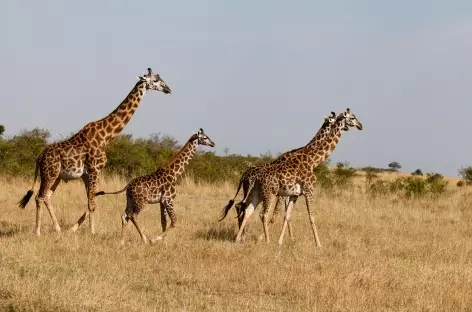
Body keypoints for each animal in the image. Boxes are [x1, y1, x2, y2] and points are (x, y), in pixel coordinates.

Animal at [17, 67, 171, 235]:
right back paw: (38, 232)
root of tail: (39, 157)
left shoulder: (87, 174)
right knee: (39, 197)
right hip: (49, 174)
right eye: (155, 80)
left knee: (47, 197)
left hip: (56, 176)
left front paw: (76, 228)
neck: (106, 137)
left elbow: (91, 201)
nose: (168, 89)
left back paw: (58, 229)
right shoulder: (94, 170)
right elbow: (92, 204)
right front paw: (92, 232)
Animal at [219, 111, 338, 240]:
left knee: (240, 206)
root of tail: (243, 176)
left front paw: (289, 237)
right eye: (333, 119)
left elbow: (286, 214)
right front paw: (284, 238)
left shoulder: (289, 193)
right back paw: (243, 236)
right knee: (243, 207)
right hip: (256, 193)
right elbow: (279, 215)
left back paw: (242, 236)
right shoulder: (285, 194)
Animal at [236, 108, 366, 247]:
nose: (361, 126)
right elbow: (310, 216)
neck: (312, 159)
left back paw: (239, 238)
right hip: (269, 193)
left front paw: (281, 241)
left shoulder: (294, 194)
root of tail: (248, 176)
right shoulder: (308, 190)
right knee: (262, 214)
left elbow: (287, 215)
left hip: (258, 193)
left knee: (247, 210)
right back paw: (266, 240)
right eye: (352, 118)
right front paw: (318, 244)